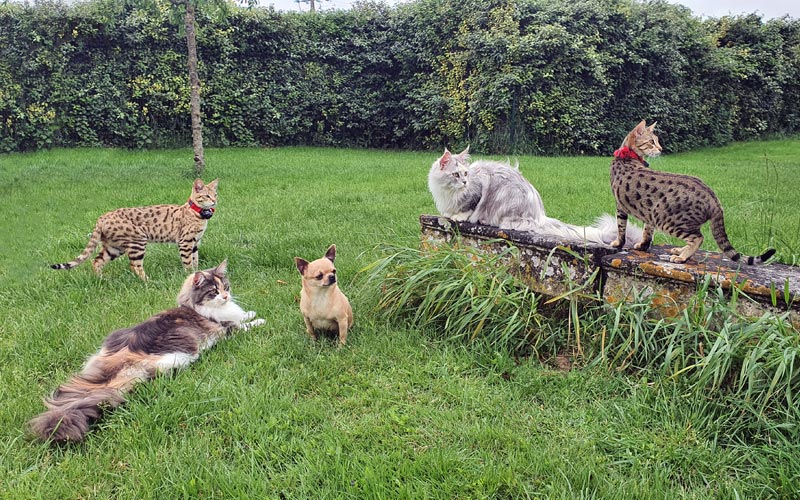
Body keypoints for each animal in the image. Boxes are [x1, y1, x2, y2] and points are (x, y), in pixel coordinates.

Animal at [28, 260, 264, 444]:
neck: (193, 307)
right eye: (213, 292)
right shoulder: (226, 330)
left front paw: (250, 312)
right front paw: (260, 320)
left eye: (226, 286)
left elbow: (242, 315)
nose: (225, 297)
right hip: (173, 360)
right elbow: (244, 324)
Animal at [50, 180, 219, 282]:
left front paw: (198, 274)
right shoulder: (185, 242)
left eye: (215, 194)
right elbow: (188, 262)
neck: (197, 213)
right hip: (138, 241)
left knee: (96, 260)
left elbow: (195, 260)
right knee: (134, 265)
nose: (215, 200)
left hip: (114, 247)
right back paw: (148, 281)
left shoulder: (195, 243)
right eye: (206, 195)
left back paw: (101, 279)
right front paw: (189, 275)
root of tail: (102, 217)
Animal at [424, 146, 644, 246]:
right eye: (456, 174)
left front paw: (457, 215)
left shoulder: (477, 193)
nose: (465, 183)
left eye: (466, 174)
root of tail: (540, 215)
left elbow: (466, 208)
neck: (448, 193)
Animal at [608, 119, 772, 266]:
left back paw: (681, 257)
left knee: (698, 238)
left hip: (668, 220)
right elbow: (647, 232)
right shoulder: (648, 214)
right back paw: (679, 250)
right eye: (651, 142)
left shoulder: (620, 205)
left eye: (657, 141)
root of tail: (716, 201)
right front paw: (642, 246)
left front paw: (617, 243)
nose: (661, 149)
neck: (627, 156)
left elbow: (621, 228)